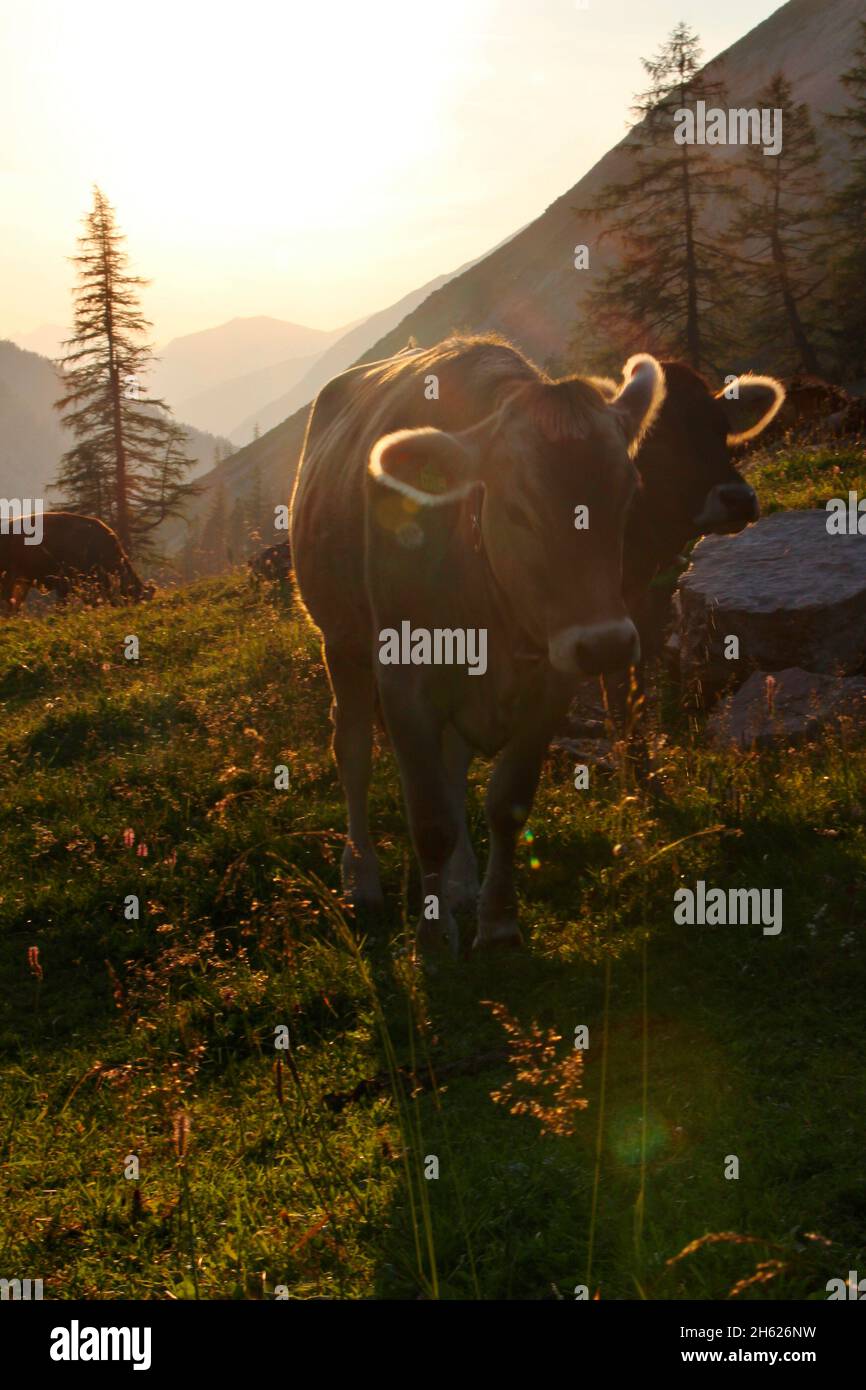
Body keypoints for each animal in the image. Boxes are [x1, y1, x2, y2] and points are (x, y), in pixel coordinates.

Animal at [291, 333, 664, 956]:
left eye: (629, 494)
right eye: (516, 508)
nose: (607, 645)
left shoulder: (552, 679)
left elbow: (506, 803)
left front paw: (497, 924)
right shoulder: (404, 678)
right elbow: (430, 820)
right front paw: (433, 940)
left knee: (451, 762)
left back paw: (462, 882)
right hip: (339, 642)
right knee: (353, 751)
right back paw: (361, 876)